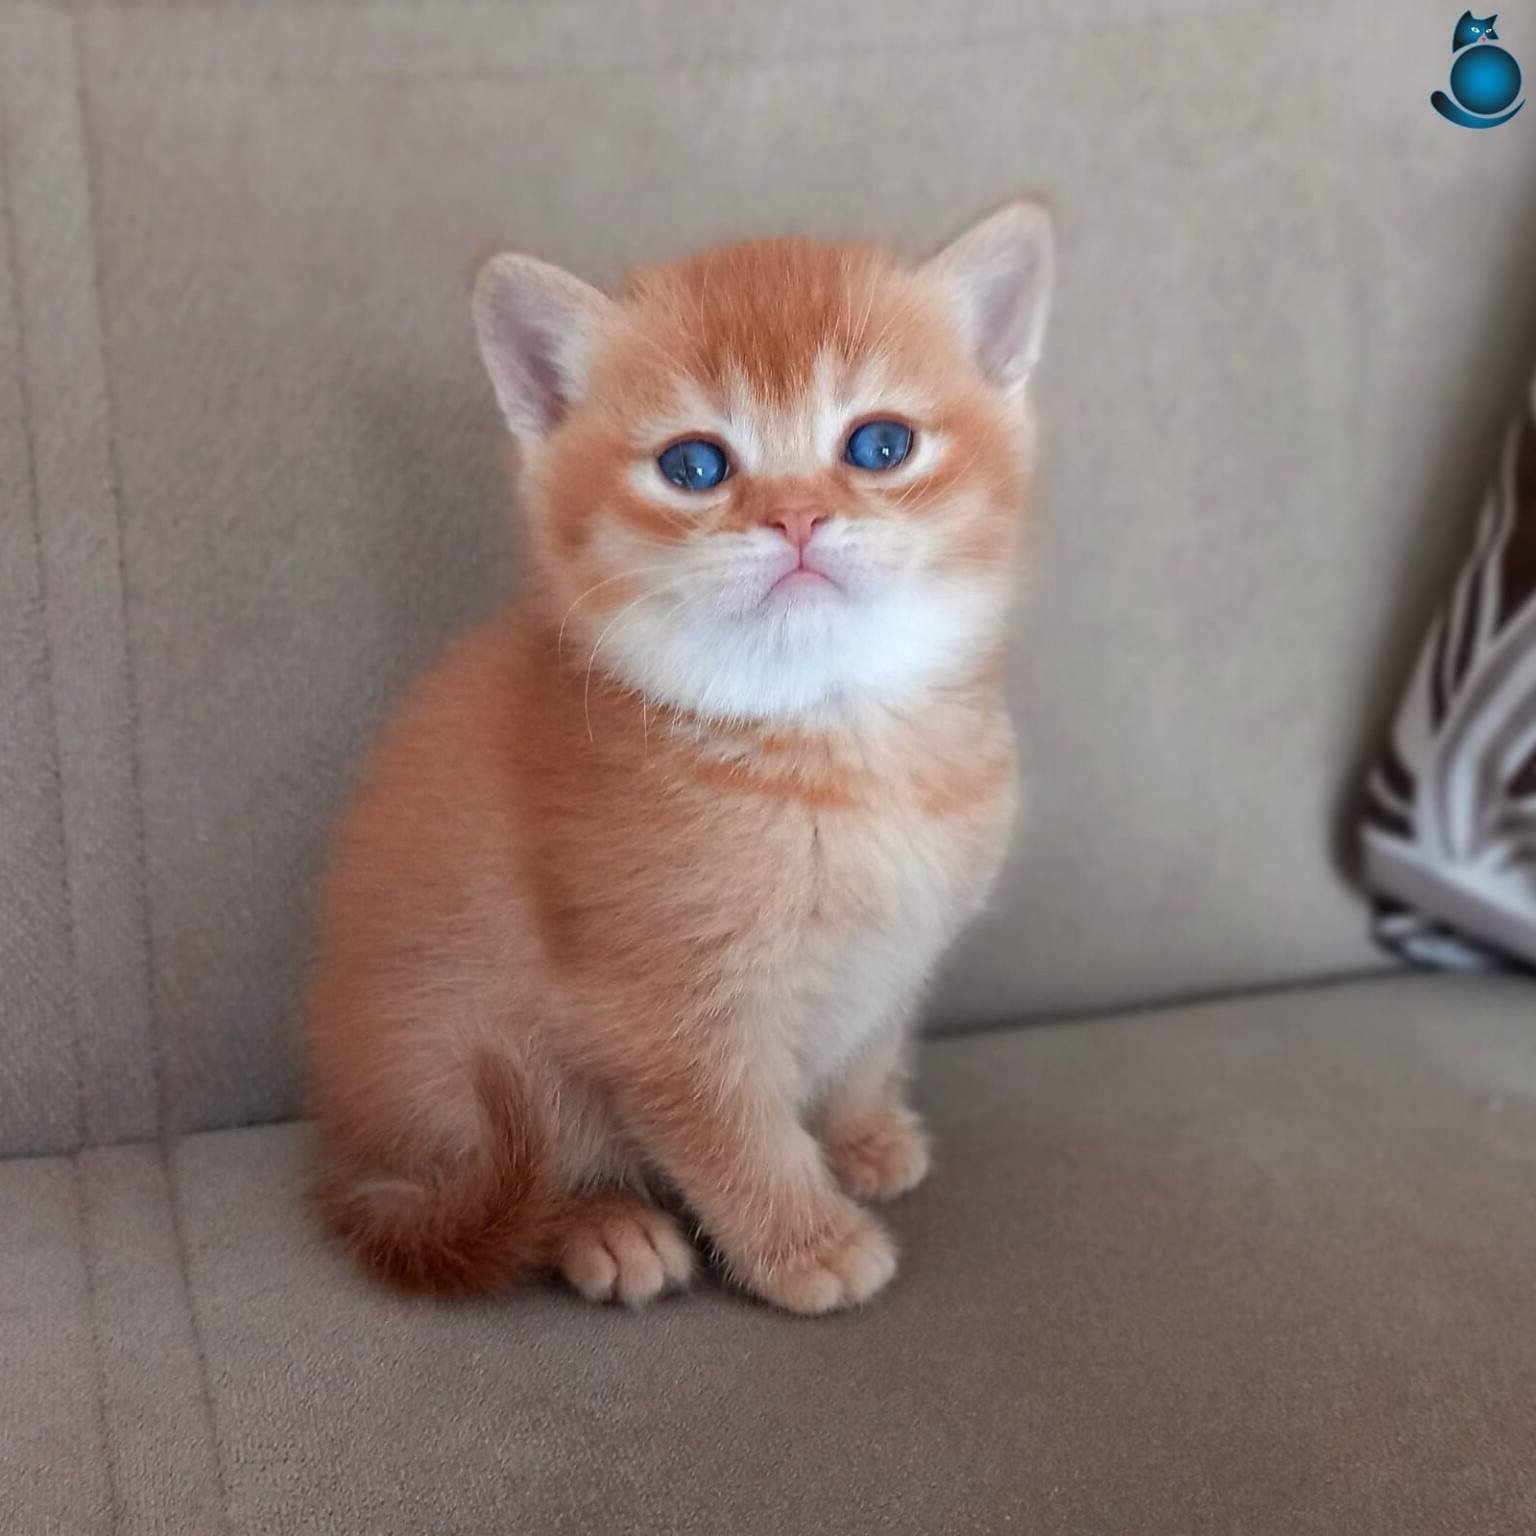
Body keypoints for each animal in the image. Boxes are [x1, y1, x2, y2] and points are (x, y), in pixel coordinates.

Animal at [304, 202, 1053, 1314]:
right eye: (695, 466)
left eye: (880, 445)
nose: (796, 516)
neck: (828, 743)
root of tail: (337, 1154)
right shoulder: (661, 1014)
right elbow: (735, 1136)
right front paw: (809, 1242)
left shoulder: (898, 954)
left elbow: (868, 1043)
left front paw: (863, 1135)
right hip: (452, 1060)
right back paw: (600, 1223)